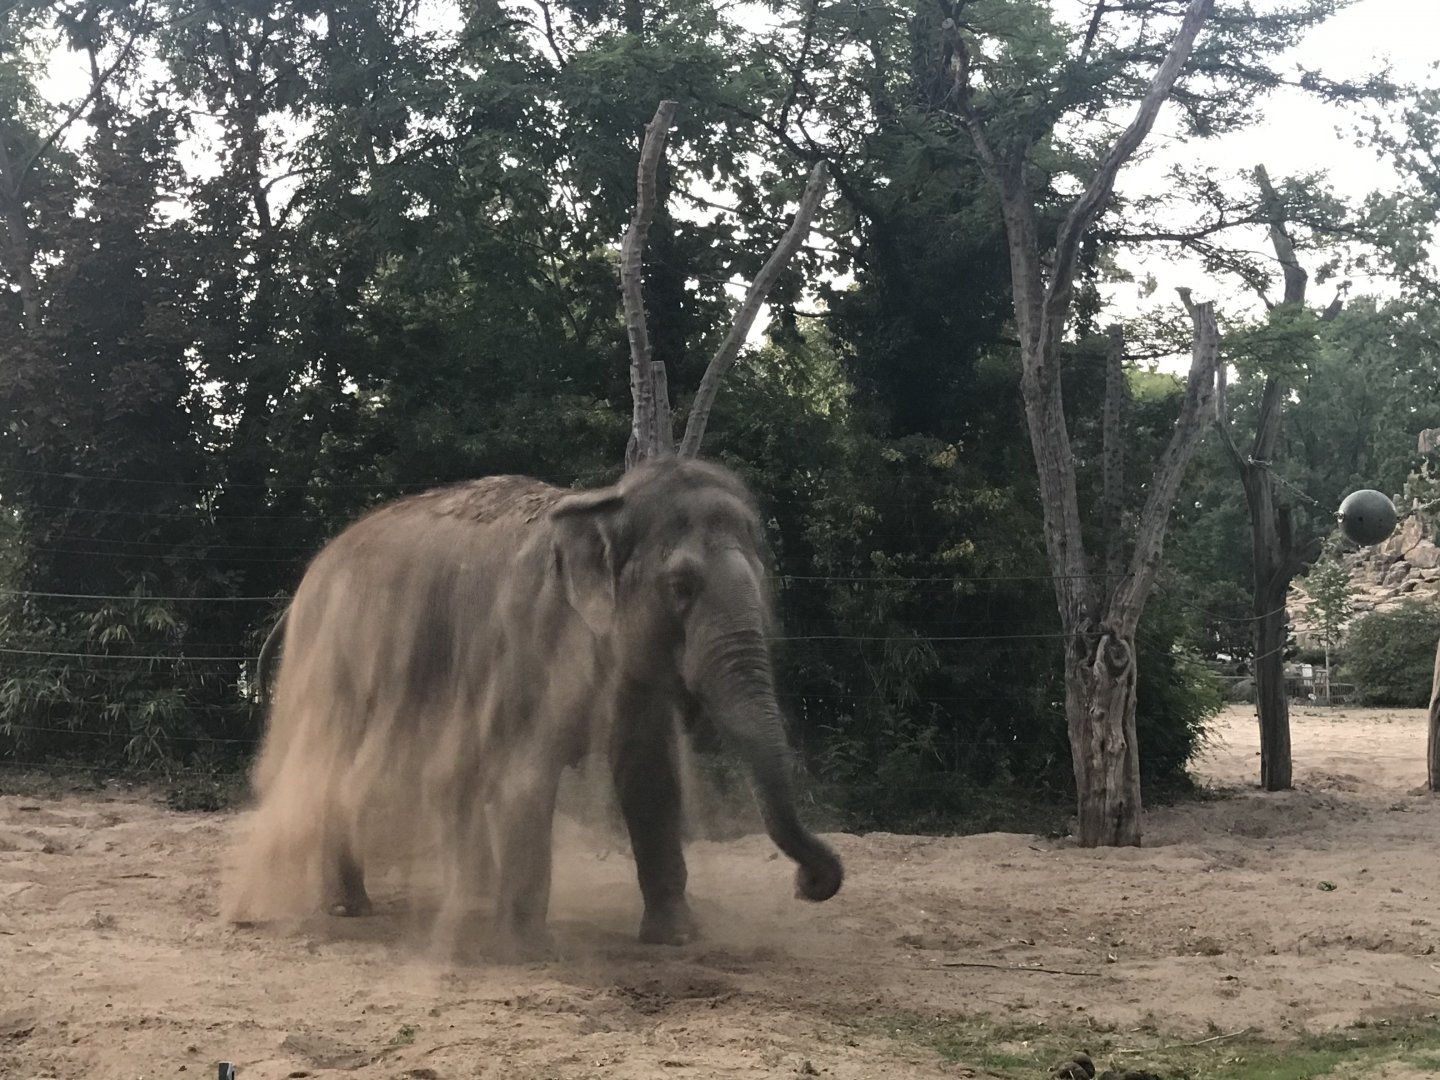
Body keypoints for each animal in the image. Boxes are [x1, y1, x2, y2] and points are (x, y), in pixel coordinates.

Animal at [222, 457, 843, 959]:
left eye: (763, 580)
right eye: (681, 586)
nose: (807, 884)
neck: (604, 501)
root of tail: (303, 588)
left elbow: (652, 780)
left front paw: (678, 940)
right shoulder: (529, 647)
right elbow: (525, 778)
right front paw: (529, 952)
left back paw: (462, 896)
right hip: (336, 667)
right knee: (334, 768)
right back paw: (348, 909)